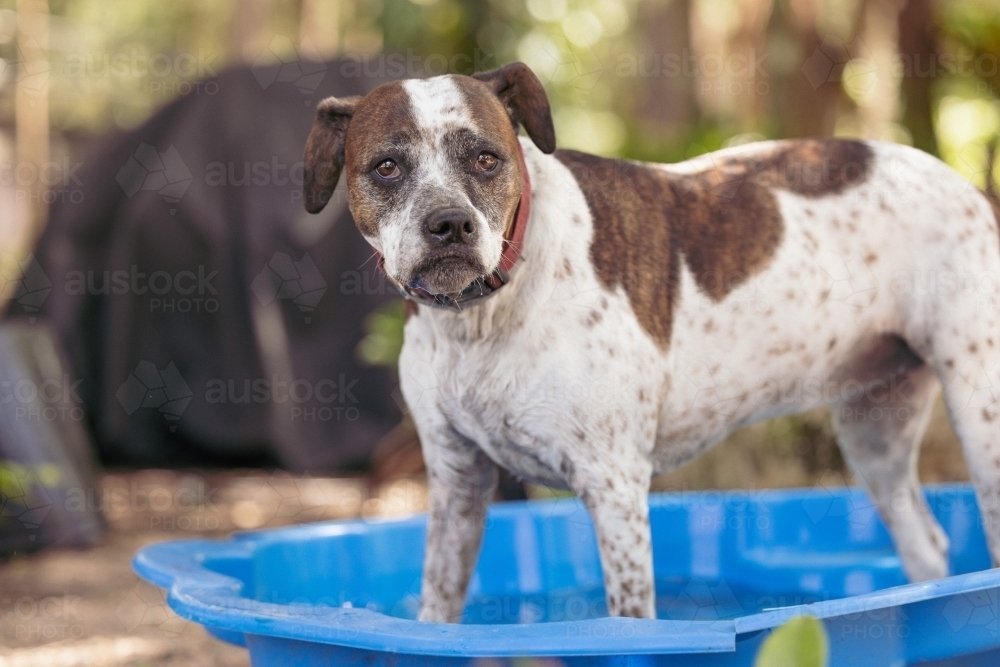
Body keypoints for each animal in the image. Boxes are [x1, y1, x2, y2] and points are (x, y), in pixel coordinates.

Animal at [302, 62, 1000, 620]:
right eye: (386, 167)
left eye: (486, 158)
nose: (448, 223)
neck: (482, 316)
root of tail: (967, 185)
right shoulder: (456, 486)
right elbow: (437, 610)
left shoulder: (614, 489)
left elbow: (629, 619)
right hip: (874, 432)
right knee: (925, 543)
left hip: (982, 425)